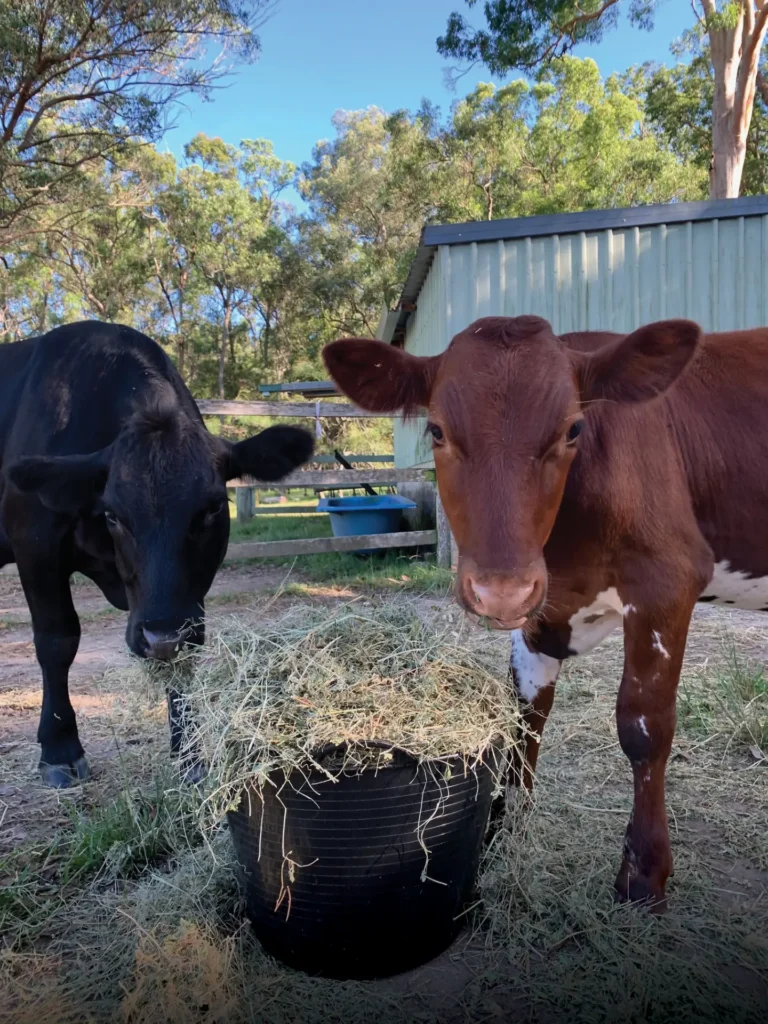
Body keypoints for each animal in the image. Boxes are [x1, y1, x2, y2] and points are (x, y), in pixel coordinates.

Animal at [0, 321, 314, 788]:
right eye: (113, 513)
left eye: (213, 507)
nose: (161, 635)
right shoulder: (36, 543)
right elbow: (57, 641)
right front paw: (60, 749)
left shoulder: (183, 604)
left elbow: (183, 659)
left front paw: (189, 752)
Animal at [323, 314, 768, 911]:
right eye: (437, 431)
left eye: (573, 430)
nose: (499, 592)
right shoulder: (541, 607)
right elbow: (524, 716)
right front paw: (504, 830)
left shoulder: (666, 580)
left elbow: (645, 728)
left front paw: (644, 874)